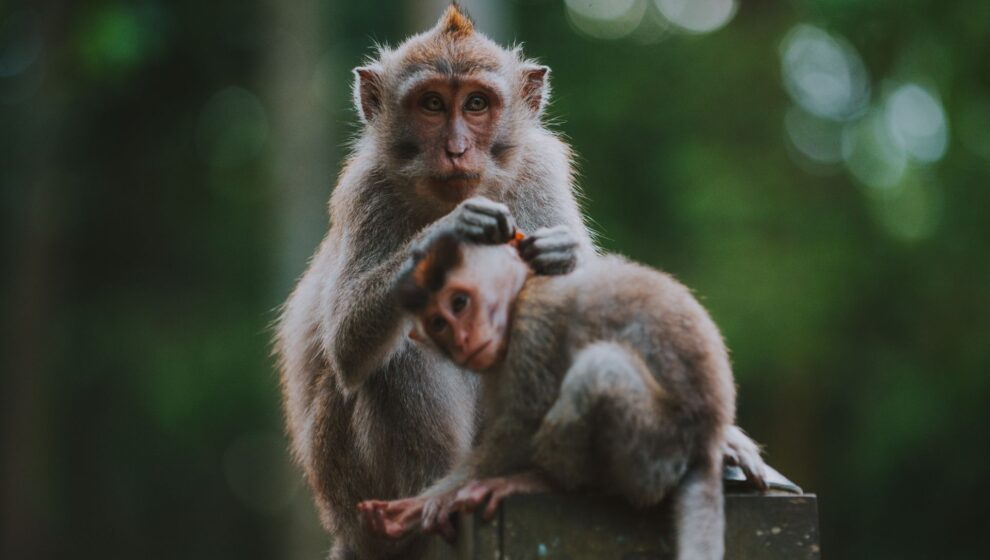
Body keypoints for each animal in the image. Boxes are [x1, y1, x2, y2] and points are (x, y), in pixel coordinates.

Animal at [359, 229, 747, 560]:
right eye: (439, 324)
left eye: (459, 303)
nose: (462, 340)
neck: (523, 292)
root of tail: (706, 443)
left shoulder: (533, 329)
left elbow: (522, 424)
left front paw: (435, 500)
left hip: (657, 453)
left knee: (597, 371)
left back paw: (545, 482)